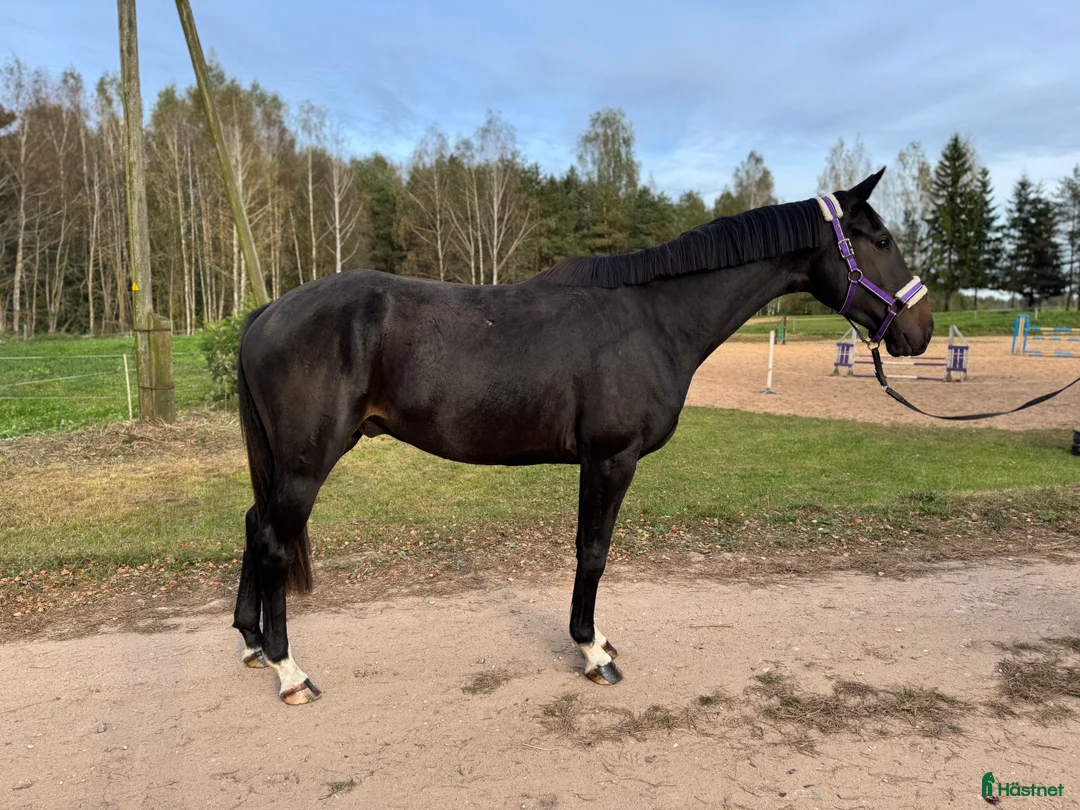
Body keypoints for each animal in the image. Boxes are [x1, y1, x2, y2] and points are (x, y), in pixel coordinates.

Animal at [233, 168, 934, 704]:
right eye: (881, 238)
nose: (920, 329)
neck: (653, 319)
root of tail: (267, 312)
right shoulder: (609, 459)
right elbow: (592, 552)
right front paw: (594, 652)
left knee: (254, 524)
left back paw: (252, 644)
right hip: (307, 461)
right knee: (273, 543)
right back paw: (290, 673)